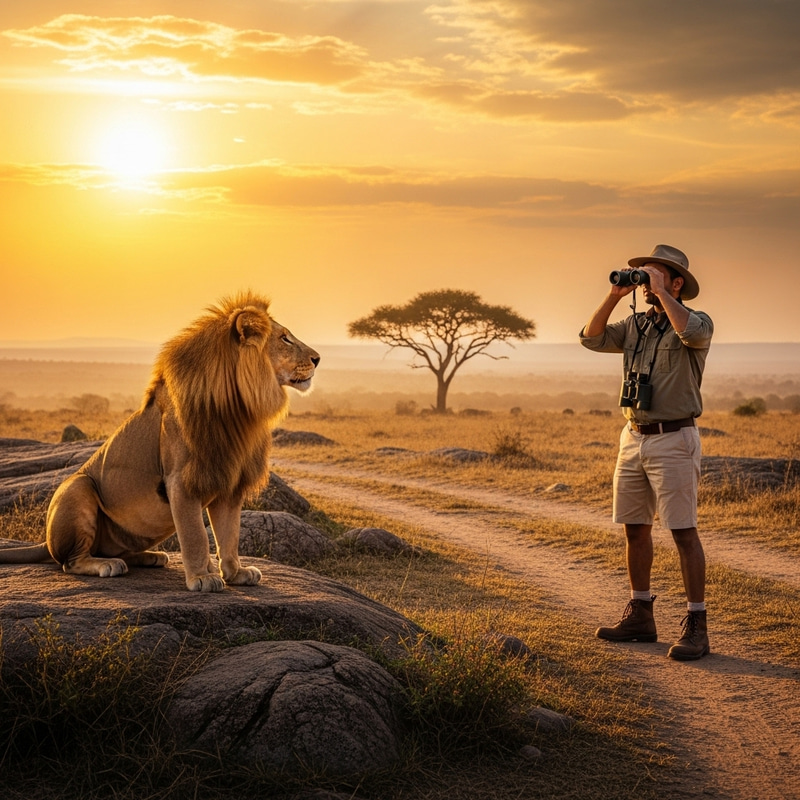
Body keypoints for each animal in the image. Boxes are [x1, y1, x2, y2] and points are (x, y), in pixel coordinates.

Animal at [0, 292, 319, 592]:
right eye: (284, 338)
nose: (318, 358)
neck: (239, 409)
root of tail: (45, 541)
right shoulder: (181, 481)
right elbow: (196, 536)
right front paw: (202, 577)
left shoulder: (229, 481)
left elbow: (229, 534)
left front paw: (235, 573)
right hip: (77, 486)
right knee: (70, 561)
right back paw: (106, 565)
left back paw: (150, 556)